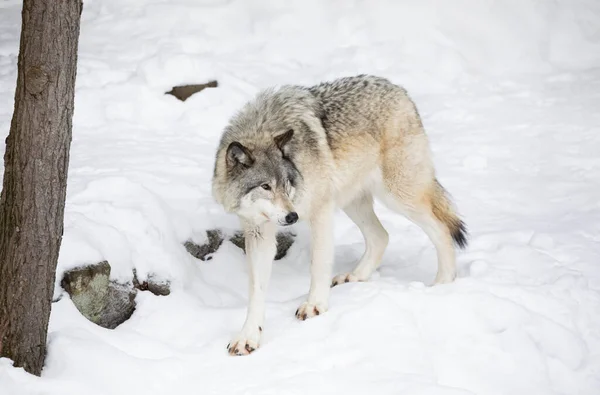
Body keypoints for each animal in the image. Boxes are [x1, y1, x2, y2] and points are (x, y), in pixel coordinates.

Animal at [212, 73, 468, 356]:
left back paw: (443, 284)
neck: (262, 129)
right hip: (354, 203)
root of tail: (399, 89)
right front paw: (248, 337)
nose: (292, 218)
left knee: (441, 230)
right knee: (382, 236)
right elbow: (256, 291)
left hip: (399, 198)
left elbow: (318, 265)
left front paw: (315, 305)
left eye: (286, 183)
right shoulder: (258, 231)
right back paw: (356, 277)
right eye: (266, 187)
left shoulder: (321, 212)